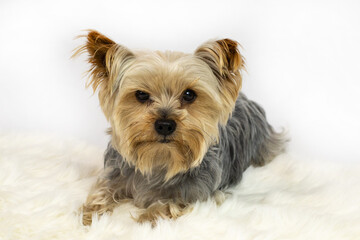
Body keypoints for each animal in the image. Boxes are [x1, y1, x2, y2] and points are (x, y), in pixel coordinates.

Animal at [74, 30, 286, 225]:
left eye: (189, 94)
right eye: (141, 95)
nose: (165, 125)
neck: (160, 159)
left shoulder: (199, 194)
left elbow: (168, 204)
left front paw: (146, 219)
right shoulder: (114, 175)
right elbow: (102, 192)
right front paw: (88, 216)